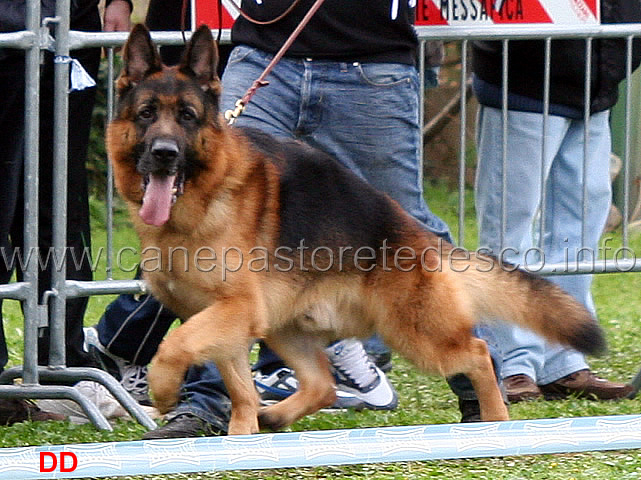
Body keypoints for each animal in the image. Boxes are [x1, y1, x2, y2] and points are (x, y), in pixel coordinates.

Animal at [110, 25, 604, 436]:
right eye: (147, 113)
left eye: (188, 116)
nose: (165, 154)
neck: (201, 203)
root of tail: (419, 236)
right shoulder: (226, 323)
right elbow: (239, 391)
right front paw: (240, 435)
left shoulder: (235, 310)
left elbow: (174, 346)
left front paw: (164, 391)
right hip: (286, 329)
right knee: (323, 385)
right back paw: (277, 416)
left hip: (414, 334)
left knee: (478, 353)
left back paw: (496, 421)